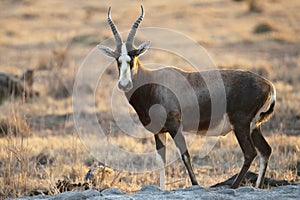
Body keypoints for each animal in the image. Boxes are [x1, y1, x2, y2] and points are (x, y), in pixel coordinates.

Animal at [97, 5, 276, 188]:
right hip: (253, 126)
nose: (124, 84)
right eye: (117, 59)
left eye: (133, 56)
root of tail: (269, 85)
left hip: (240, 124)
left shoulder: (175, 127)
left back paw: (233, 186)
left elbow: (185, 156)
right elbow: (161, 160)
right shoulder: (159, 131)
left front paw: (196, 185)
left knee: (250, 153)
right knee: (265, 151)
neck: (153, 82)